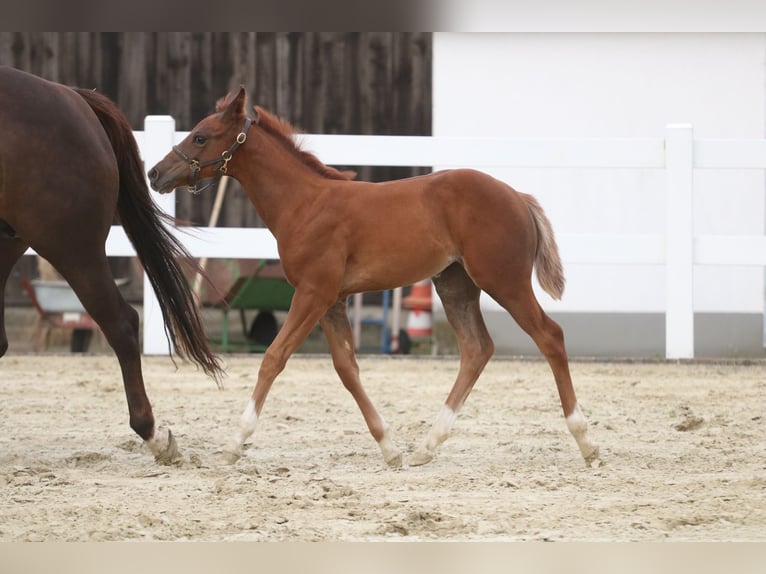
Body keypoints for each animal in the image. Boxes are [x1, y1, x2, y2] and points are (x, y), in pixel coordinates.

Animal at [150, 88, 604, 470]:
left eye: (201, 137)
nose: (155, 173)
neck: (305, 203)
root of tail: (518, 197)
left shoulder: (313, 293)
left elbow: (273, 359)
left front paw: (234, 444)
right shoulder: (332, 300)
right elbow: (347, 368)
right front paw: (389, 448)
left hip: (503, 281)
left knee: (549, 336)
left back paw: (585, 441)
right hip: (455, 284)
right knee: (477, 349)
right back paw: (426, 446)